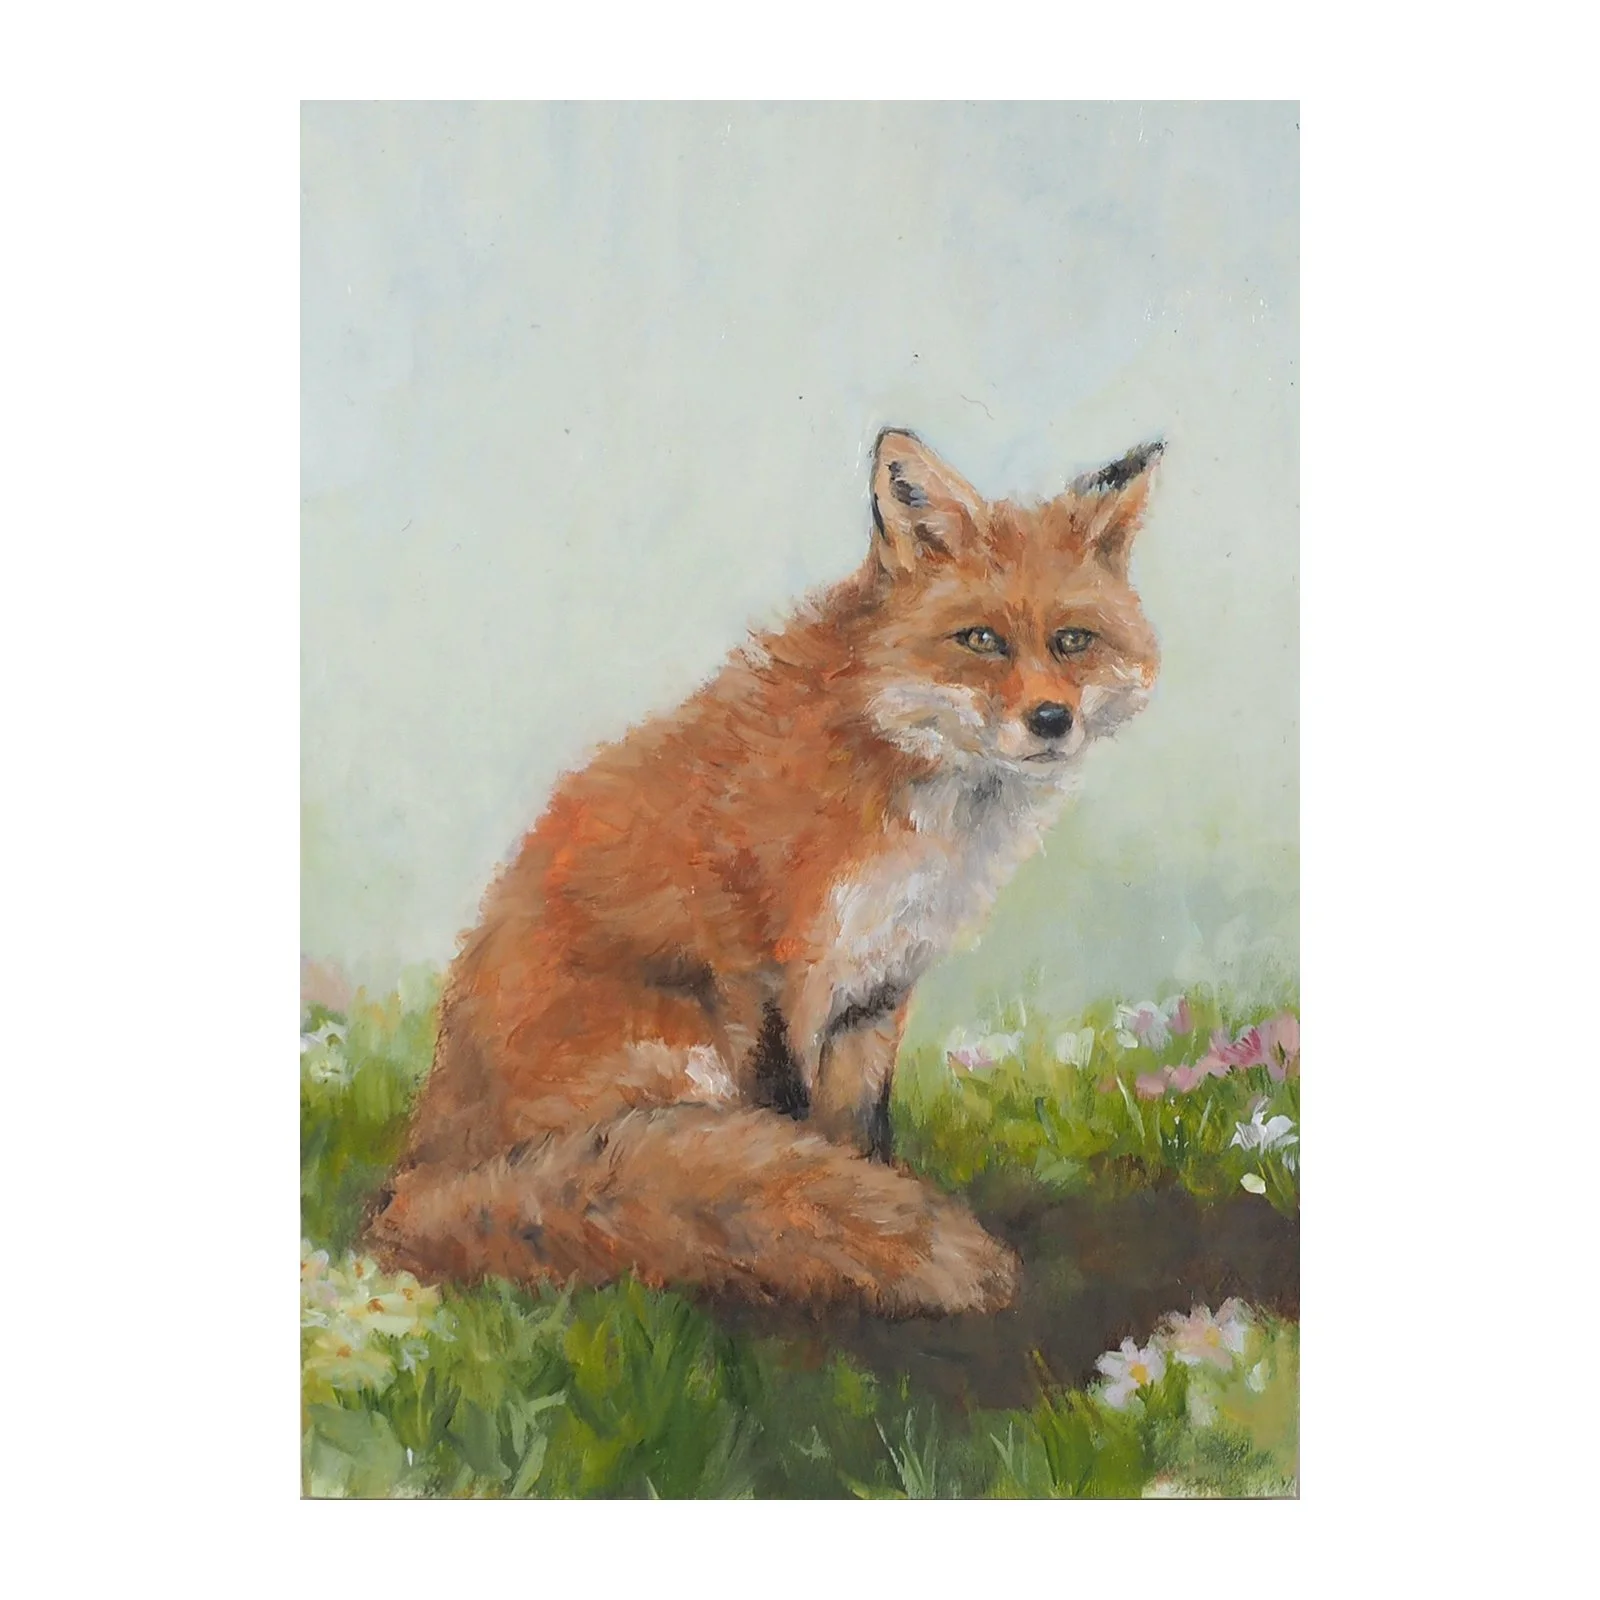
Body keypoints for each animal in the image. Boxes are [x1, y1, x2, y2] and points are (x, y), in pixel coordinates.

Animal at [367, 426, 1163, 1317]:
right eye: (982, 640)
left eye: (1073, 640)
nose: (1051, 720)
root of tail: (416, 1182)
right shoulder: (773, 969)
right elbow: (790, 1128)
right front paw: (851, 1225)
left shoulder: (877, 987)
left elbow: (858, 1131)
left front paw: (876, 1200)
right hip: (681, 1045)